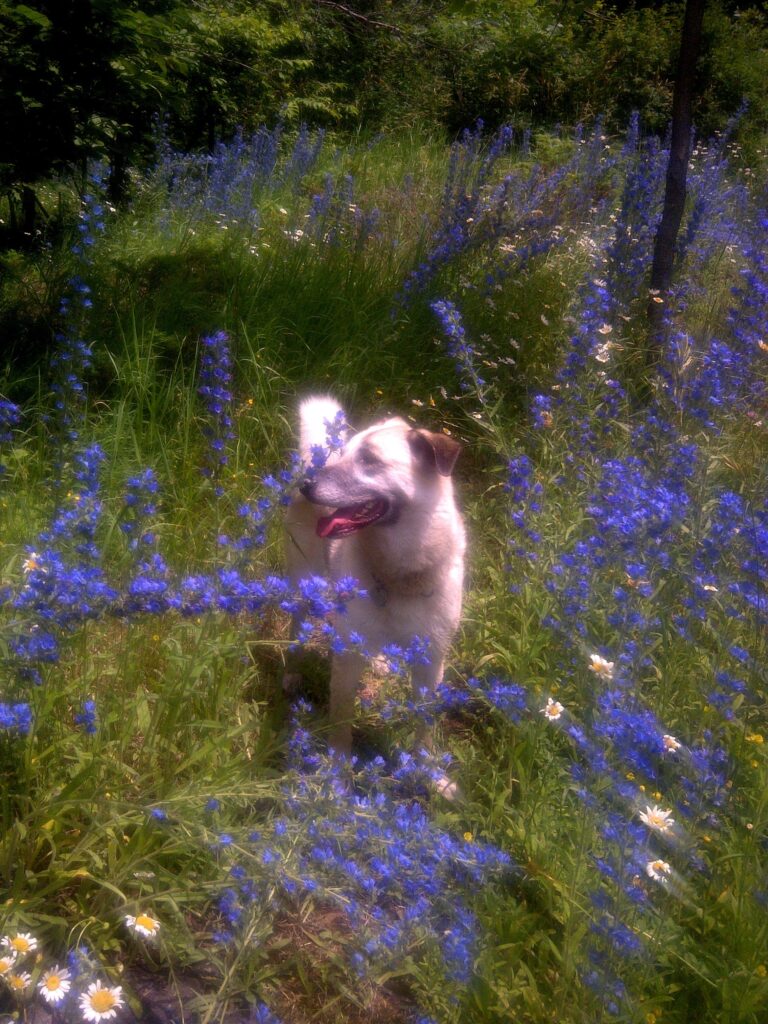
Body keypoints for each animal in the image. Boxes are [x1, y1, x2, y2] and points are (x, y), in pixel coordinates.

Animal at [286, 395, 466, 757]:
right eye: (345, 456)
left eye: (369, 460)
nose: (306, 485)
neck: (399, 578)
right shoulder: (348, 660)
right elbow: (341, 721)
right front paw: (338, 769)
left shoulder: (431, 662)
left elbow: (424, 724)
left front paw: (426, 767)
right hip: (302, 581)